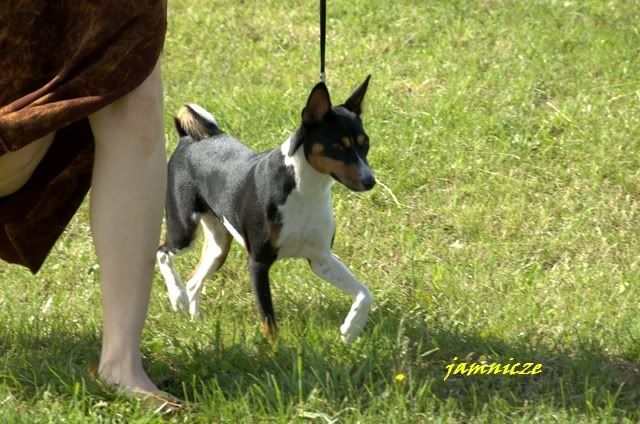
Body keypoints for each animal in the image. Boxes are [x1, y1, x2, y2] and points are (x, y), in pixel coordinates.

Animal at [156, 76, 375, 343]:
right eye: (339, 146)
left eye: (365, 143)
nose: (370, 181)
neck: (305, 191)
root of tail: (188, 138)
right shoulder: (258, 262)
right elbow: (268, 321)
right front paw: (275, 350)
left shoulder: (320, 257)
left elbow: (364, 293)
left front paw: (351, 328)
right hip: (184, 230)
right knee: (162, 252)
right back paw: (176, 297)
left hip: (218, 246)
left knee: (193, 281)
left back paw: (195, 321)